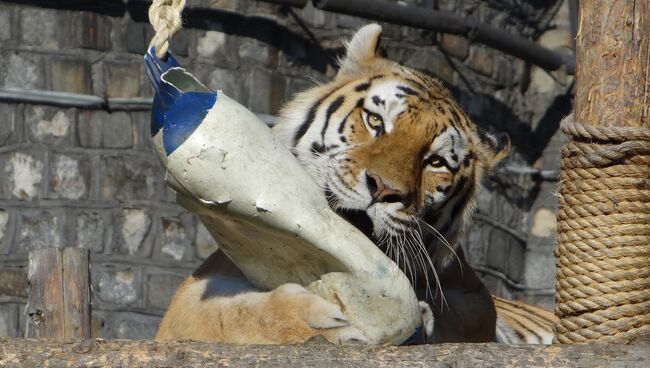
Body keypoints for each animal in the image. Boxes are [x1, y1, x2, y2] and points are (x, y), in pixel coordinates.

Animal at [154, 23, 556, 344]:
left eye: (436, 162)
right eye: (375, 121)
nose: (383, 189)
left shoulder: (474, 295)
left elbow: (456, 317)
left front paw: (420, 320)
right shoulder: (189, 298)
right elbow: (228, 315)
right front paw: (323, 326)